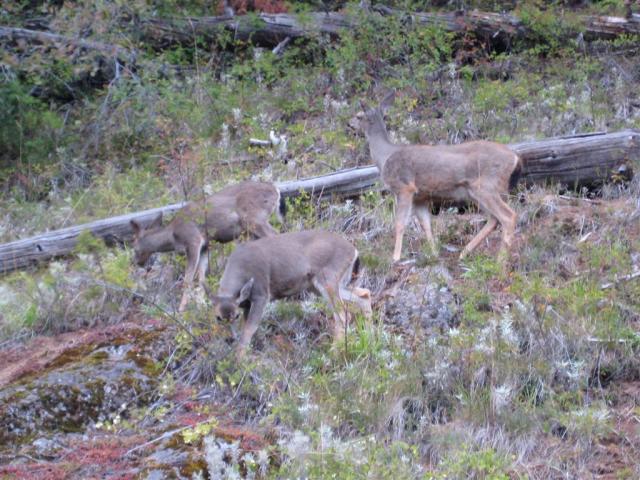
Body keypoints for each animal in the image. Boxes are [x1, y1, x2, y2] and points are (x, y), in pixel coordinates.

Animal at [130, 181, 284, 312]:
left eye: (135, 248)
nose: (137, 262)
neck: (173, 235)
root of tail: (275, 189)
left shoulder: (193, 240)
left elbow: (188, 279)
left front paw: (181, 309)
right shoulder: (205, 247)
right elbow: (201, 278)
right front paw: (202, 305)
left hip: (254, 219)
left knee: (275, 236)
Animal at [207, 230, 372, 357]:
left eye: (235, 315)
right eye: (218, 318)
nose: (229, 338)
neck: (241, 269)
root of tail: (354, 251)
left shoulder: (261, 294)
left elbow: (249, 329)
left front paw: (240, 361)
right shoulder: (247, 304)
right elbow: (248, 328)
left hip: (328, 278)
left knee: (343, 315)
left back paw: (334, 353)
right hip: (325, 285)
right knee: (364, 294)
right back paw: (369, 337)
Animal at [350, 93, 522, 263]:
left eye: (359, 116)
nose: (349, 124)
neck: (385, 156)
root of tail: (514, 157)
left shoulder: (404, 187)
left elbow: (400, 223)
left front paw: (396, 257)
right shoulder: (420, 197)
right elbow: (426, 224)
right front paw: (433, 253)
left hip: (485, 186)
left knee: (508, 216)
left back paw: (500, 261)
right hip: (479, 191)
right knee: (494, 219)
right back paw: (464, 253)